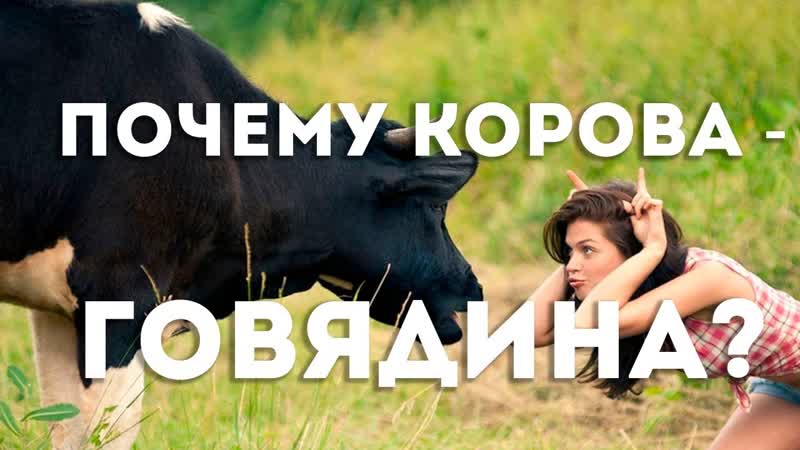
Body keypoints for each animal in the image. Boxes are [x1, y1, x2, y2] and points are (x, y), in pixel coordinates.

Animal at [0, 1, 484, 448]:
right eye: (436, 209)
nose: (473, 288)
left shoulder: (58, 308)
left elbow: (66, 424)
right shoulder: (117, 289)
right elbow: (105, 429)